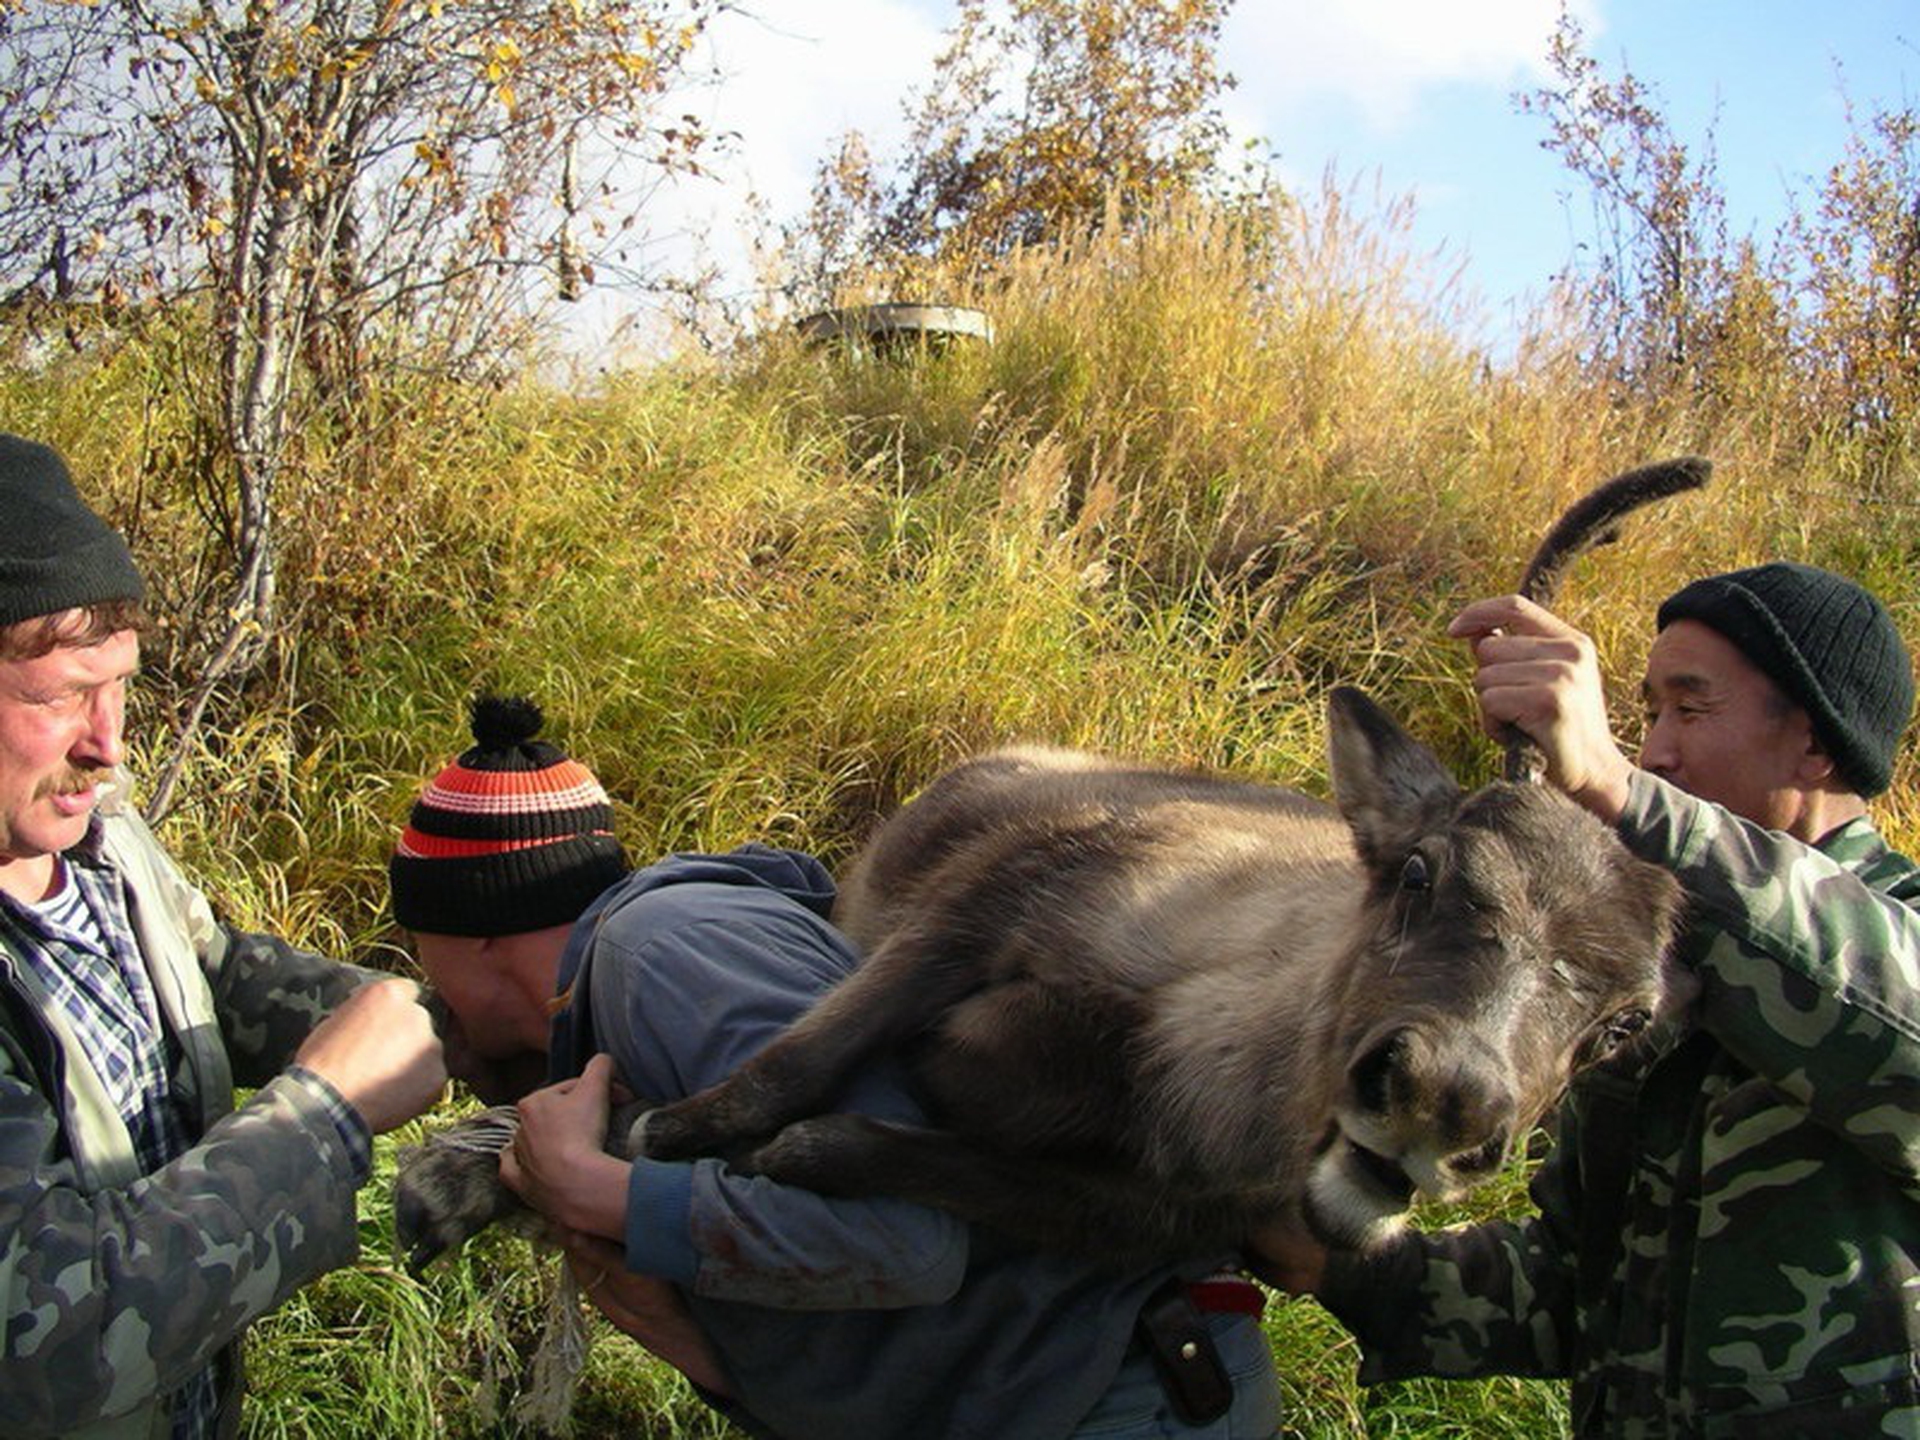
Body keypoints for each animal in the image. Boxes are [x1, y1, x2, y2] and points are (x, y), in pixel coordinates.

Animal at [395, 457, 1707, 1276]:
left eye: (1625, 1024)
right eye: (1425, 871)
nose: (1446, 1102)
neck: (1198, 1048)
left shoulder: (1157, 1214)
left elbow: (867, 1150)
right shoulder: (1003, 899)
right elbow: (785, 1069)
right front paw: (583, 1148)